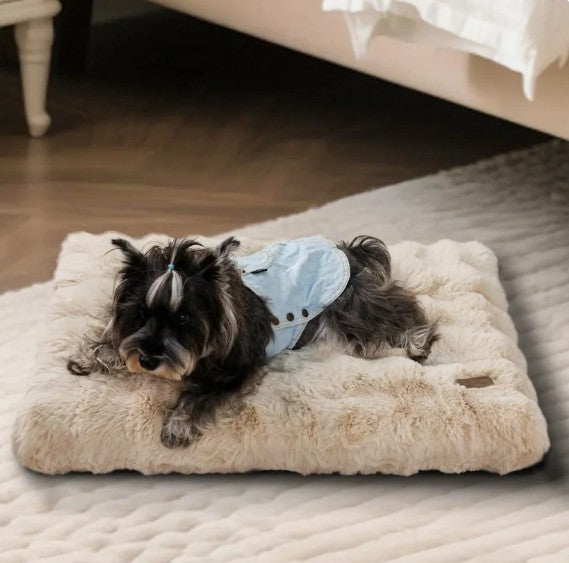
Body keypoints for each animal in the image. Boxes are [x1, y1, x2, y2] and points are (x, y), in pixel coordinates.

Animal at [68, 235, 437, 448]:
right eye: (141, 312)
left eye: (184, 319)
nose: (148, 360)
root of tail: (345, 250)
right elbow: (116, 336)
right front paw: (90, 355)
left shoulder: (235, 371)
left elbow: (197, 395)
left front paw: (178, 425)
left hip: (352, 306)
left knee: (397, 309)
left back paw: (419, 340)